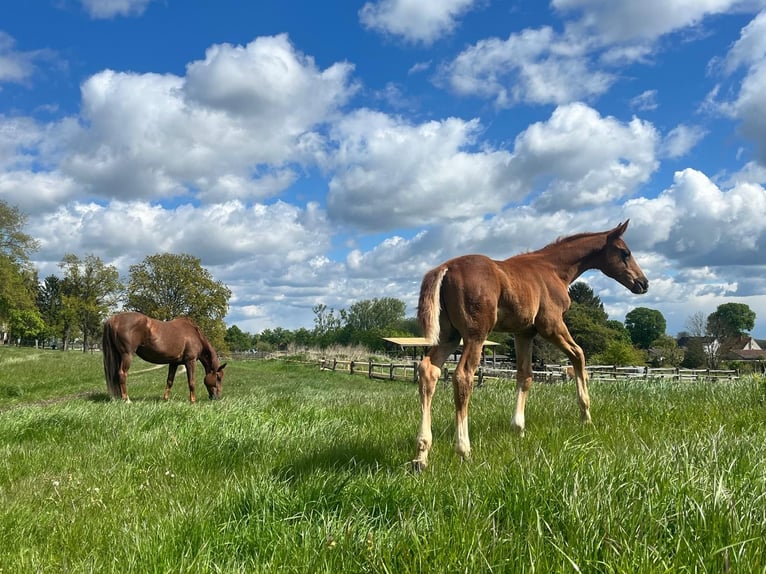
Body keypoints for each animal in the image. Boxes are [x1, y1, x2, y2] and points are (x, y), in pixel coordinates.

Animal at [414, 222, 648, 472]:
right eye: (625, 252)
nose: (643, 283)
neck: (554, 270)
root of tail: (445, 268)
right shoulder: (551, 324)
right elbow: (578, 354)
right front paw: (586, 415)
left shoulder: (524, 332)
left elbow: (525, 376)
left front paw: (518, 429)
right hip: (475, 335)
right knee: (463, 376)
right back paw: (464, 450)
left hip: (449, 336)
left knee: (428, 370)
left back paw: (422, 453)